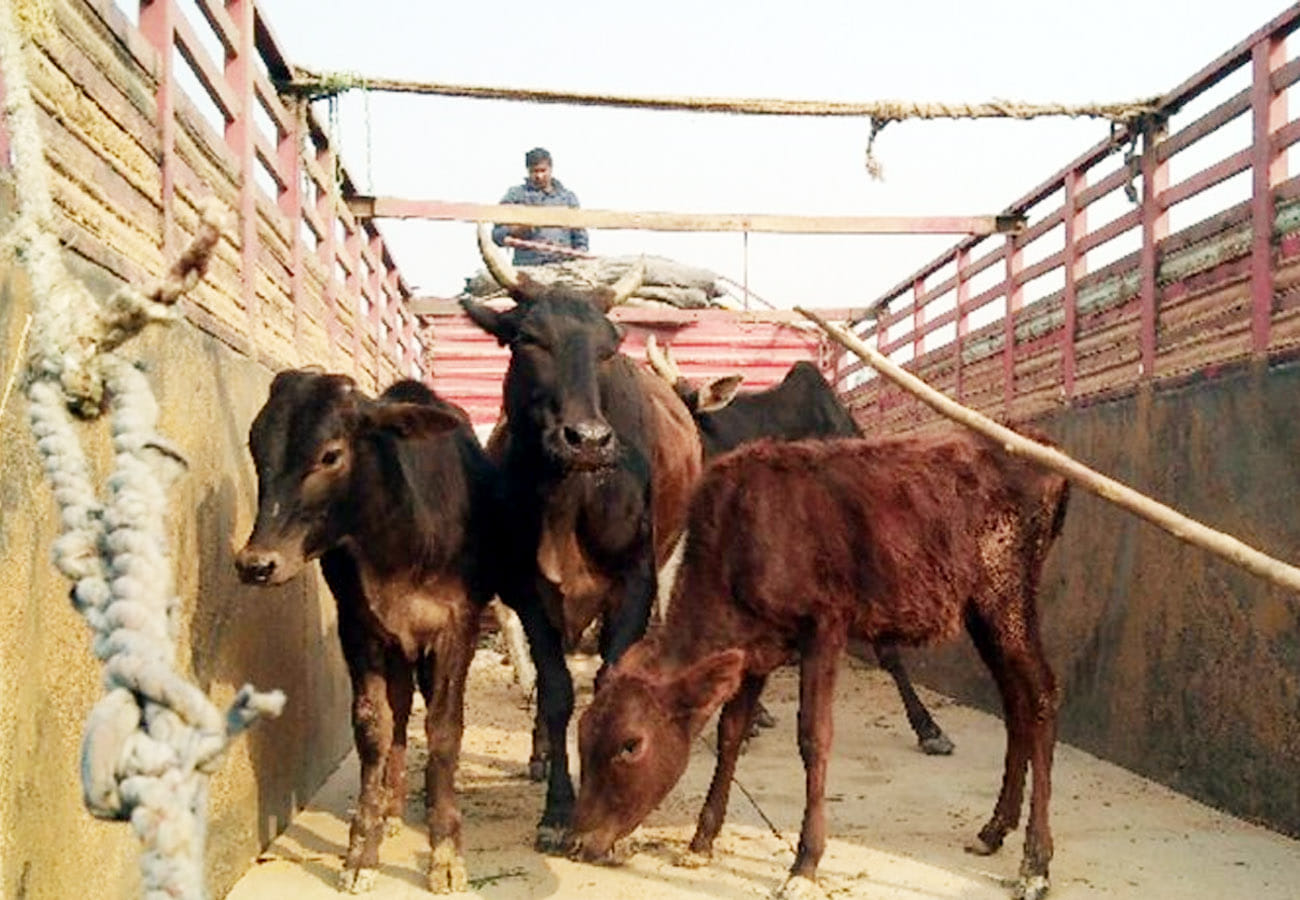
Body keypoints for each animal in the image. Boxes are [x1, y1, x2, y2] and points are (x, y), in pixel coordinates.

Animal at [234, 371, 497, 894]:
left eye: (330, 455)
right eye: (256, 446)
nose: (256, 564)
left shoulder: (456, 629)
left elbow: (444, 731)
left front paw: (445, 853)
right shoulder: (359, 629)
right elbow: (374, 728)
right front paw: (362, 850)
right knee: (398, 714)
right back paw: (392, 809)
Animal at [460, 224, 702, 852]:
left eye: (608, 347)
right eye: (527, 339)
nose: (587, 439)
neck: (568, 501)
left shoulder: (634, 585)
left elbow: (608, 684)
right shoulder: (527, 591)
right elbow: (556, 691)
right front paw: (557, 809)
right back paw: (541, 755)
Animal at [571, 430, 1069, 900]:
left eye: (630, 745)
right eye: (583, 735)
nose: (578, 843)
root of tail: (1049, 453)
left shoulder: (825, 625)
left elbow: (813, 736)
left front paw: (804, 864)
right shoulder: (756, 650)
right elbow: (730, 733)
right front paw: (701, 841)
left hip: (1007, 594)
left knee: (1042, 693)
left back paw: (1036, 863)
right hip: (981, 611)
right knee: (1015, 702)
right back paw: (995, 828)